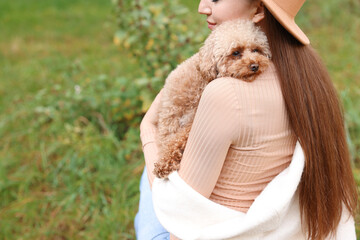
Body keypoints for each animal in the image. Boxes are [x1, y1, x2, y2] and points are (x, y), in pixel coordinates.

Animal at [153, 19, 272, 178]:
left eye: (256, 50)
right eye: (236, 52)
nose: (255, 65)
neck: (202, 80)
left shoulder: (192, 120)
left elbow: (177, 139)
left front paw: (165, 162)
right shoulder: (169, 117)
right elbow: (168, 140)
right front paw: (164, 162)